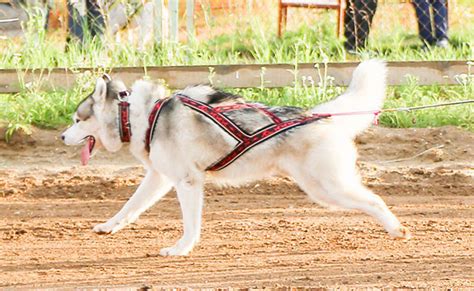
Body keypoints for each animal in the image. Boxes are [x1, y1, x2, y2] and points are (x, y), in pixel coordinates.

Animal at [62, 60, 412, 256]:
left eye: (78, 120)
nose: (62, 137)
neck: (140, 115)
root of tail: (315, 116)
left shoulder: (188, 182)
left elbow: (190, 224)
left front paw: (181, 249)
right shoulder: (160, 179)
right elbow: (130, 207)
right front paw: (109, 227)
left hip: (328, 188)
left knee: (375, 200)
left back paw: (397, 229)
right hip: (323, 189)